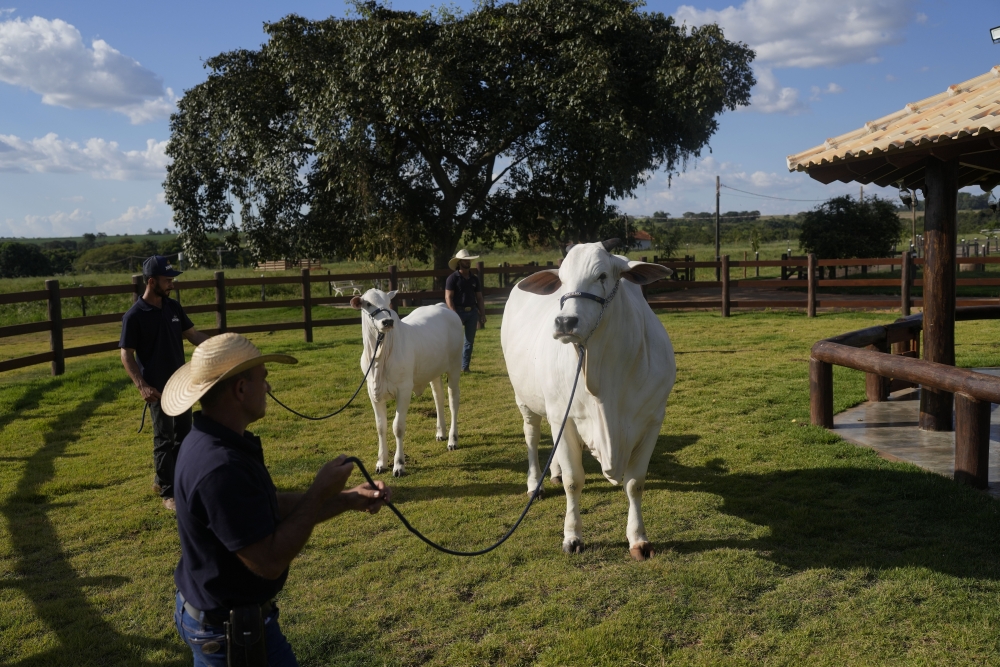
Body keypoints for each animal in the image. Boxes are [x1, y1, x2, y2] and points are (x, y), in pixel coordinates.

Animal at [350, 289, 464, 476]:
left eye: (388, 302)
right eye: (367, 304)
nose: (387, 321)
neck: (380, 357)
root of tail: (442, 306)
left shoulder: (404, 390)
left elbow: (398, 427)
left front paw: (399, 465)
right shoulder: (372, 392)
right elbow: (381, 426)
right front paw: (381, 463)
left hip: (454, 367)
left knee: (453, 401)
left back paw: (452, 440)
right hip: (433, 371)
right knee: (438, 397)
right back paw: (440, 432)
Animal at [500, 239, 675, 560]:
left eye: (602, 275)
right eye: (561, 280)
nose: (565, 322)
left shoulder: (652, 420)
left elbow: (635, 483)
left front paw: (638, 539)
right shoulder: (564, 416)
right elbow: (574, 481)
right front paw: (572, 536)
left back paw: (553, 473)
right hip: (525, 400)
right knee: (531, 436)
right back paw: (535, 483)